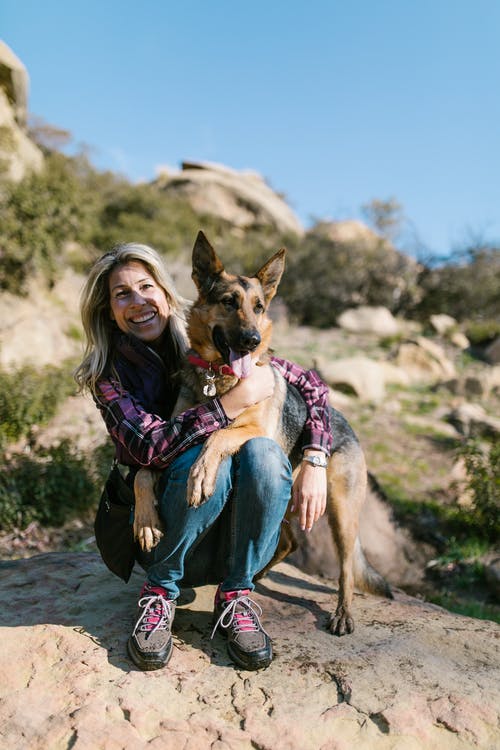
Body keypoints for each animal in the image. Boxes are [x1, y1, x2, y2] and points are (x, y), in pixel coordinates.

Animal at [135, 232, 392, 636]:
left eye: (258, 307)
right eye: (229, 302)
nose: (253, 340)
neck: (219, 380)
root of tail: (343, 422)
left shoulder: (255, 430)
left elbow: (218, 437)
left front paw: (201, 475)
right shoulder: (167, 442)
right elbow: (143, 472)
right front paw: (146, 522)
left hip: (340, 512)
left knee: (346, 568)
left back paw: (342, 613)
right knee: (287, 543)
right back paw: (253, 577)